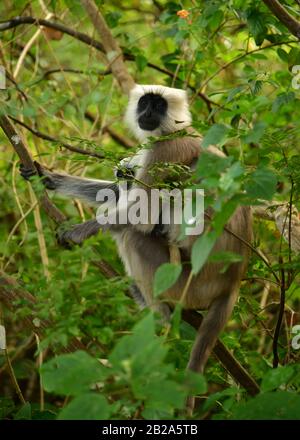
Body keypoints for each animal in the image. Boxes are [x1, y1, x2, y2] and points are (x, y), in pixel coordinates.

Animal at [20, 85, 253, 412]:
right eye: (145, 103)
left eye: (159, 105)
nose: (148, 113)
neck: (172, 131)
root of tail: (233, 281)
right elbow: (115, 192)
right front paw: (49, 178)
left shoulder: (164, 152)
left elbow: (139, 214)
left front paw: (76, 231)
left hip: (186, 283)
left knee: (133, 234)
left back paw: (161, 322)